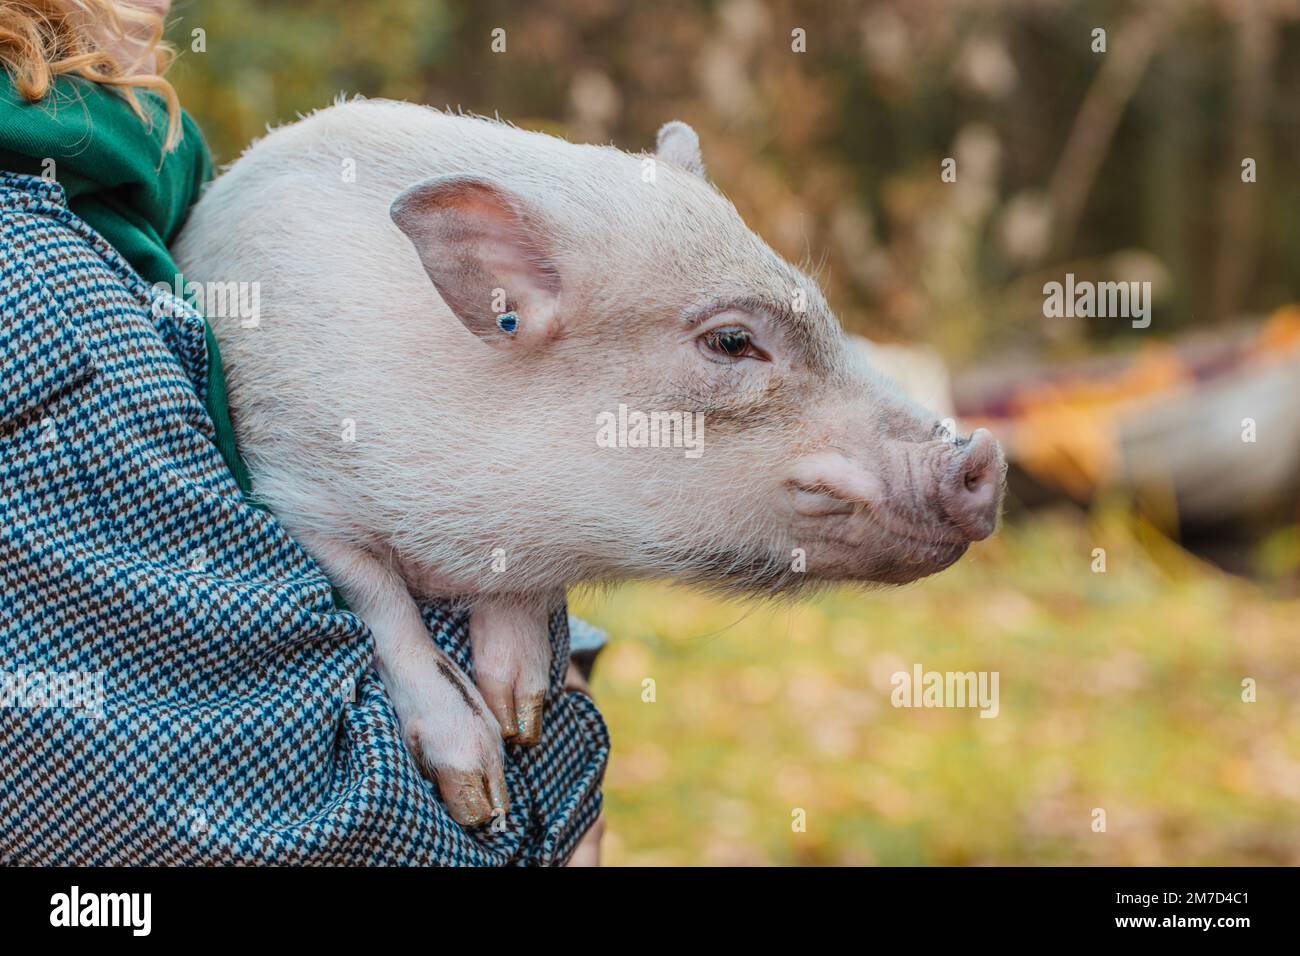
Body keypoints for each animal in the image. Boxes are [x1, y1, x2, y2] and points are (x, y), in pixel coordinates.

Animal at [172, 100, 1003, 827]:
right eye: (732, 341)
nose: (983, 456)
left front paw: (521, 716)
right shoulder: (290, 487)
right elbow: (380, 606)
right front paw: (483, 798)